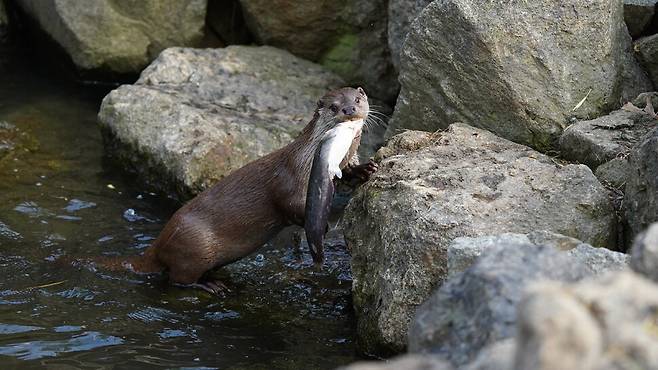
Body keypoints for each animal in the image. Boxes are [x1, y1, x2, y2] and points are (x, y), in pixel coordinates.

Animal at [96, 87, 374, 294]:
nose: (350, 110)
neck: (305, 160)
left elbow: (348, 171)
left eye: (357, 99)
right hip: (195, 247)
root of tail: (159, 242)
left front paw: (365, 170)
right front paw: (320, 225)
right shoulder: (289, 179)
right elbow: (287, 204)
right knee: (178, 278)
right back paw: (211, 285)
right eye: (334, 107)